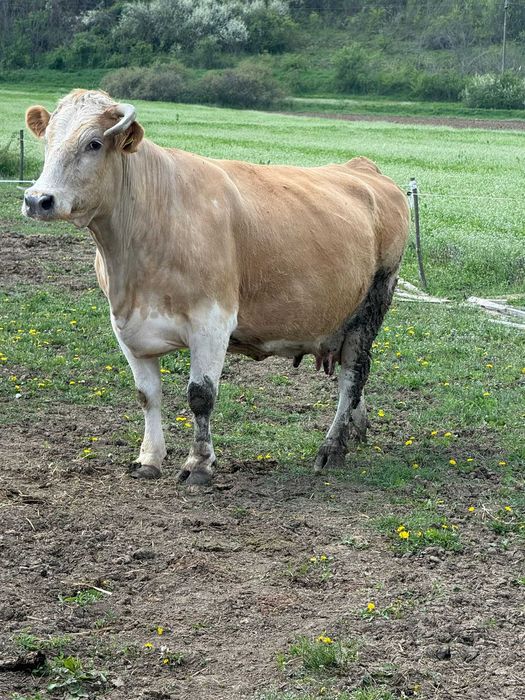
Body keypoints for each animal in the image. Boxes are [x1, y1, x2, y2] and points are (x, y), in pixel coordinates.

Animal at [23, 90, 409, 486]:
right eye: (47, 139)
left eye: (94, 143)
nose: (38, 199)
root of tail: (361, 168)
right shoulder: (126, 325)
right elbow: (147, 395)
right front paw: (149, 458)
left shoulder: (212, 321)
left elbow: (201, 396)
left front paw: (198, 464)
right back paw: (356, 430)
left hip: (373, 303)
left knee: (353, 375)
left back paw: (332, 448)